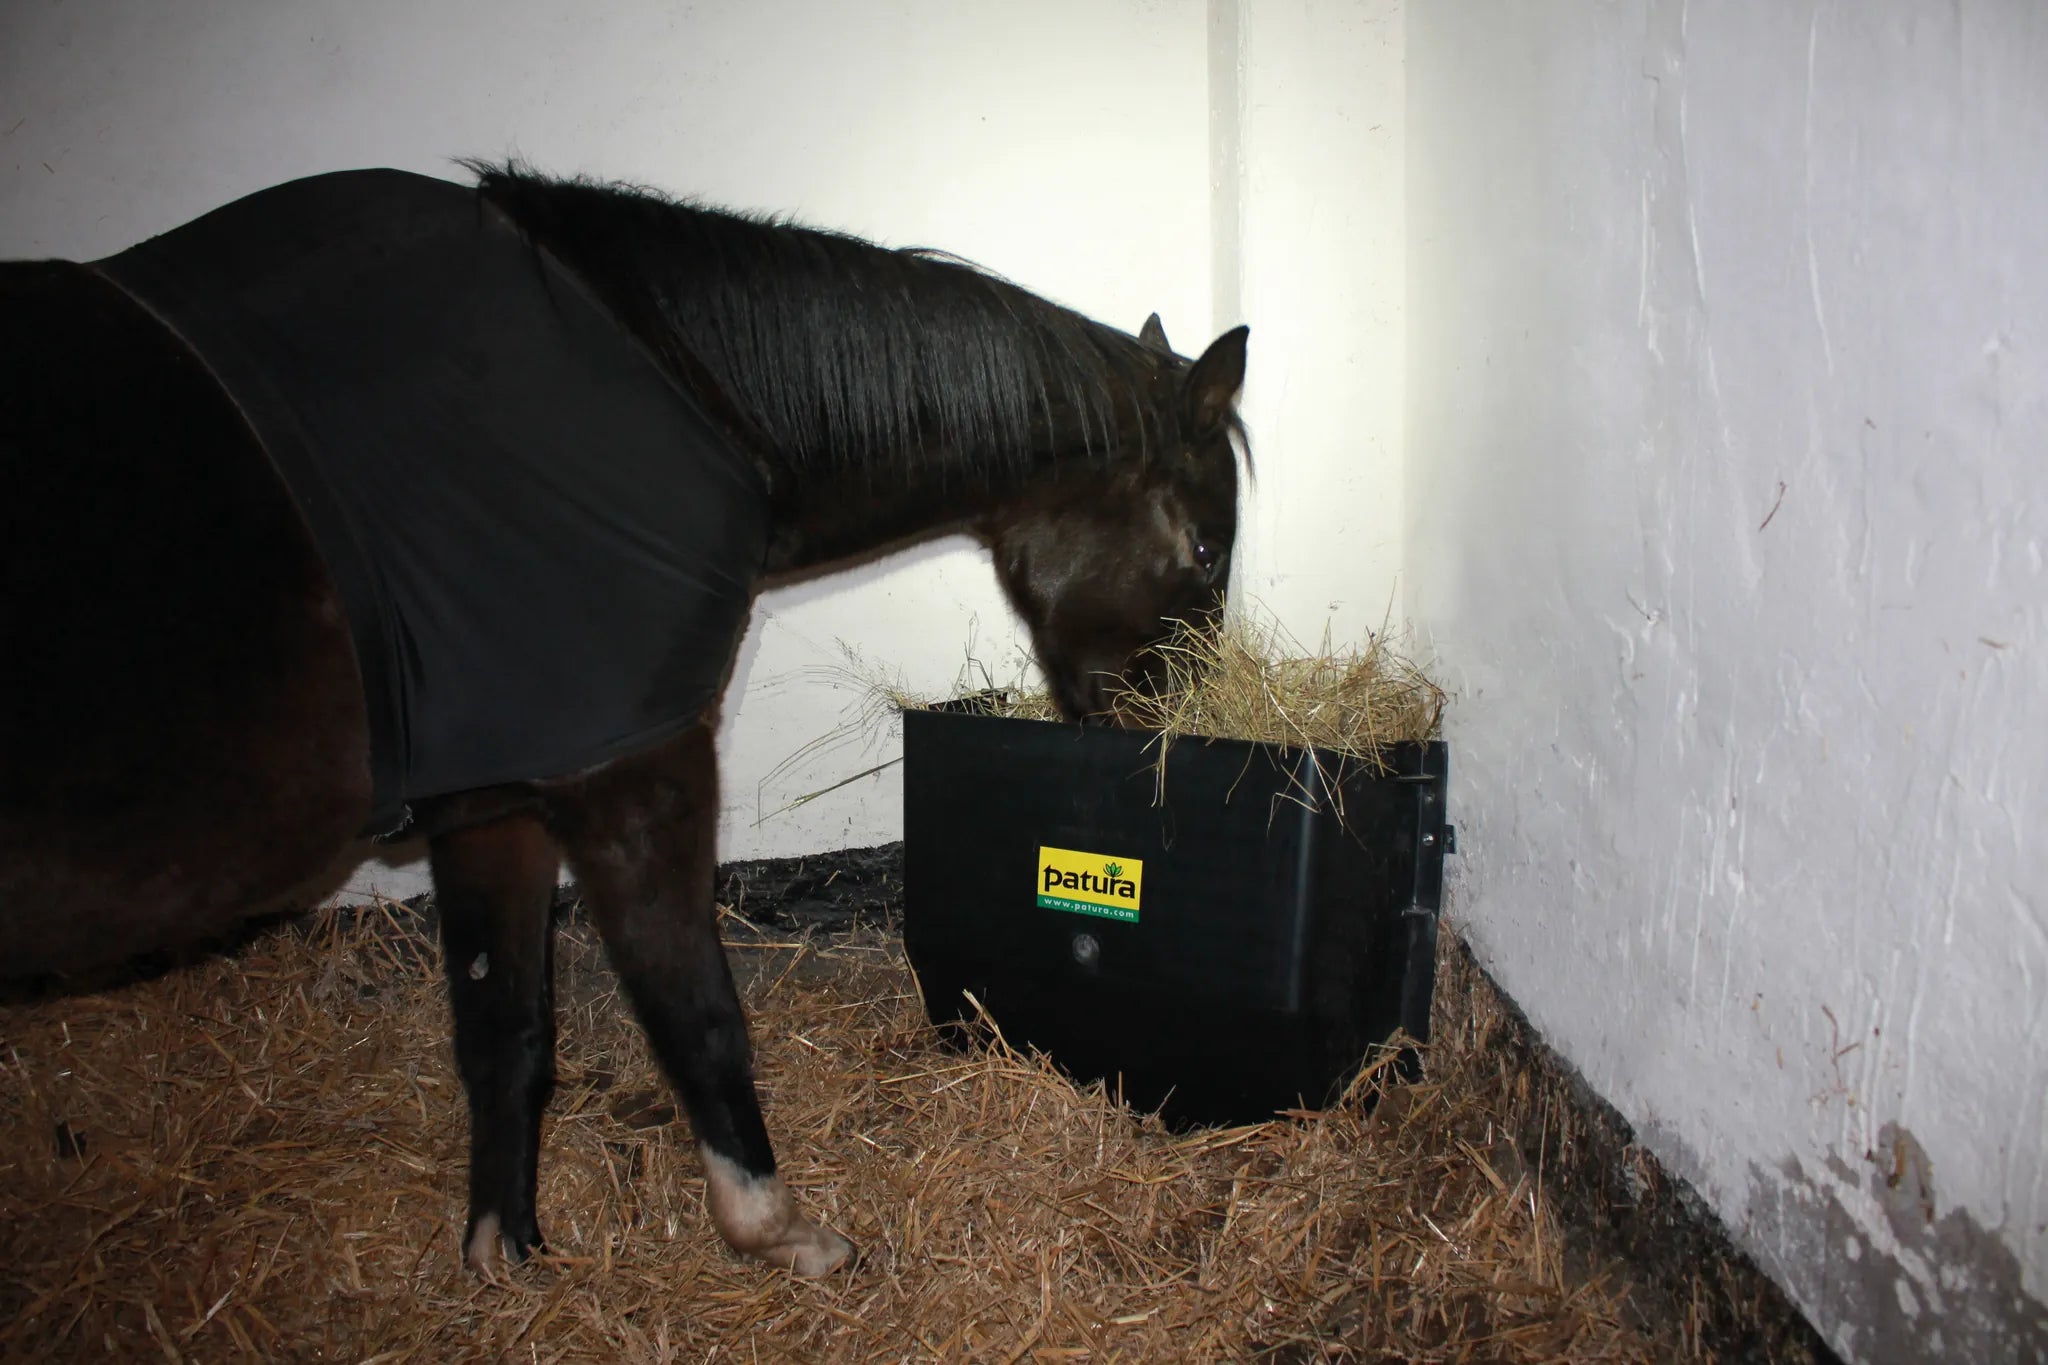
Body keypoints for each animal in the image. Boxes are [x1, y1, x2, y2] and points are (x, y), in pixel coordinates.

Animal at [0, 162, 1248, 1279]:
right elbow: (693, 1012)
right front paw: (773, 1230)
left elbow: (503, 1029)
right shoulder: (631, 773)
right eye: (1203, 549)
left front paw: (505, 1248)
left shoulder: (488, 806)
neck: (671, 385)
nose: (1170, 733)